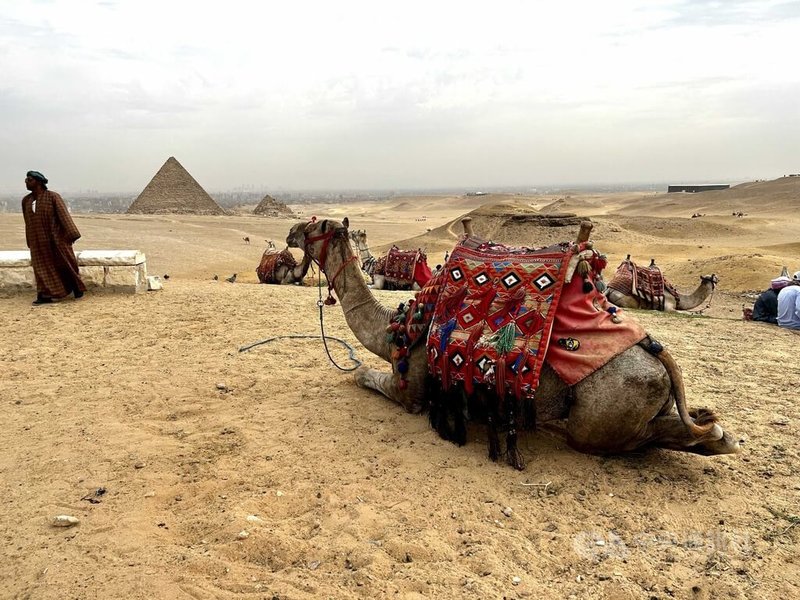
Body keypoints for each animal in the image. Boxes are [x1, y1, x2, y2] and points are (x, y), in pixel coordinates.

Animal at [284, 216, 740, 468]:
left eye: (316, 226)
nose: (290, 231)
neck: (399, 326)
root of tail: (656, 351)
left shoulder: (411, 390)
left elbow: (362, 374)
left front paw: (358, 370)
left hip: (601, 418)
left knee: (632, 439)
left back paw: (717, 434)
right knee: (687, 425)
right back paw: (715, 428)